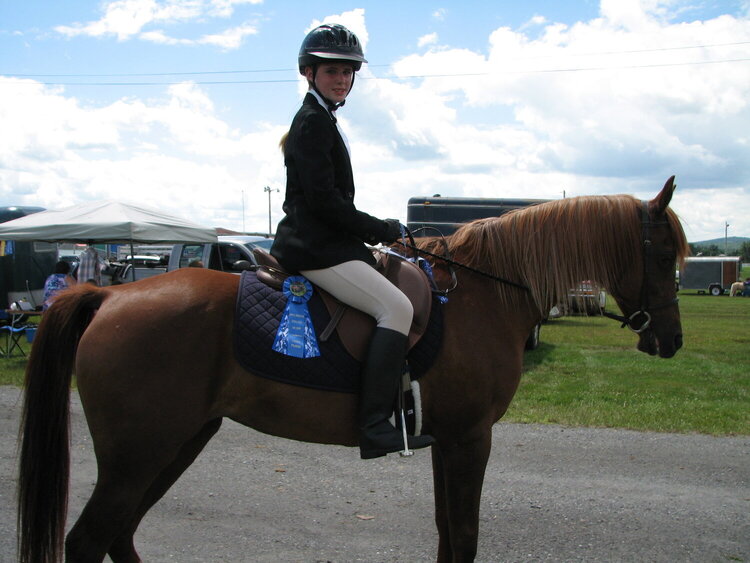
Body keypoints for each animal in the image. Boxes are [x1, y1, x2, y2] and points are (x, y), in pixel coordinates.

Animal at [17, 178, 692, 560]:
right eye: (662, 254)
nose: (671, 341)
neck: (484, 294)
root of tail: (110, 297)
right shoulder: (471, 438)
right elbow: (465, 537)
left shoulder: (449, 441)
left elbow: (448, 535)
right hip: (139, 454)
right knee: (91, 541)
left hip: (176, 444)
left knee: (119, 536)